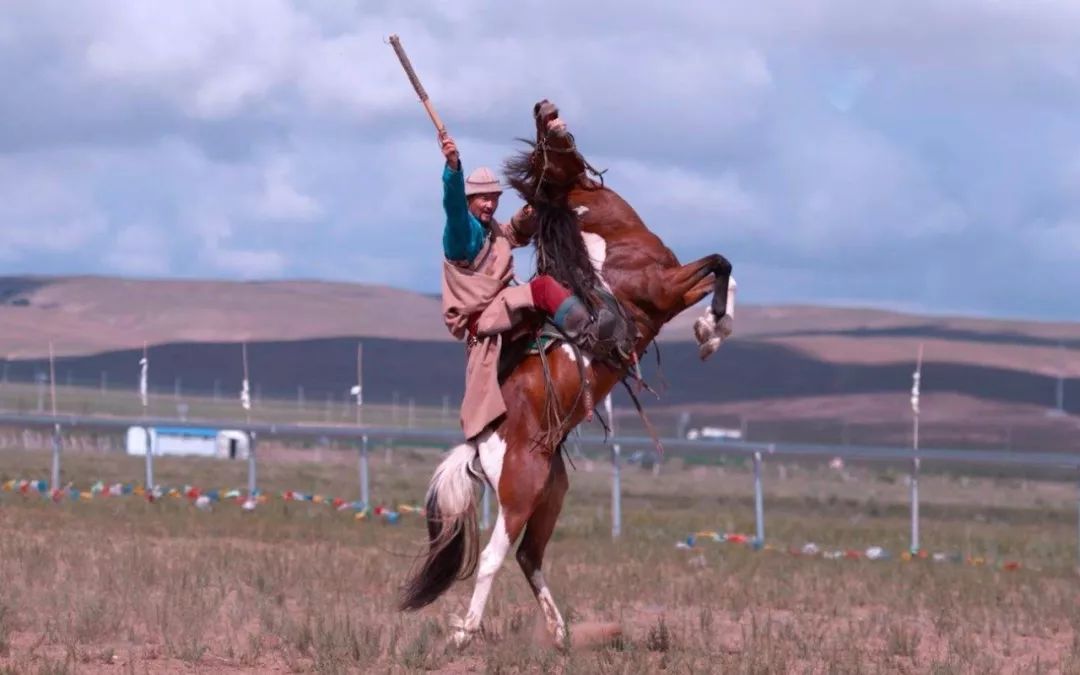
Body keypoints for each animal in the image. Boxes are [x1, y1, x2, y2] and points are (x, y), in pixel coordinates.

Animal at [401, 101, 738, 648]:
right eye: (541, 145)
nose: (545, 106)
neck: (608, 243)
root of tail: (481, 443)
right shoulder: (663, 289)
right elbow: (719, 263)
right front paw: (710, 331)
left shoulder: (675, 290)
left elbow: (720, 270)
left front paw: (713, 328)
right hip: (519, 491)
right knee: (494, 557)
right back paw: (464, 634)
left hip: (550, 492)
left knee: (528, 556)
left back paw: (559, 635)